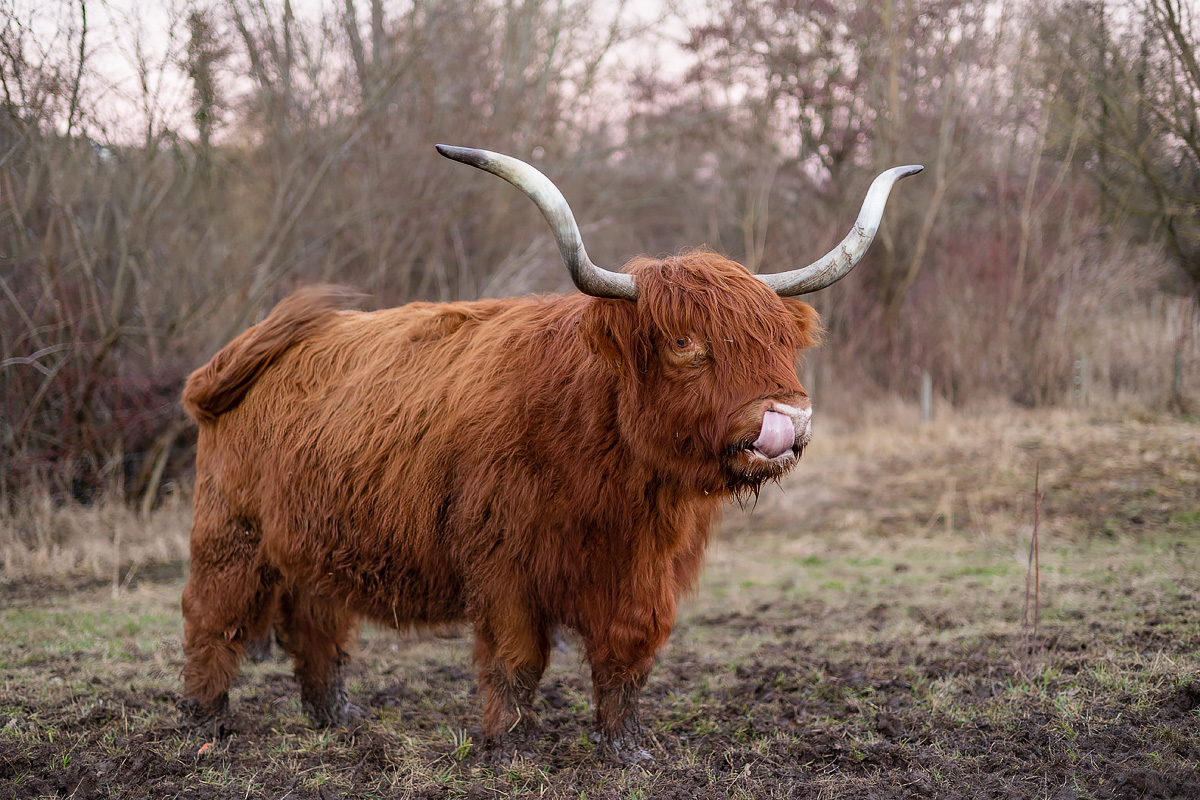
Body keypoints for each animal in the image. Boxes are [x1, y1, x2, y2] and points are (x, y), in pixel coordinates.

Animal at [180, 146, 916, 767]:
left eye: (781, 342)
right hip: (232, 534)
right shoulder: (504, 565)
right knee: (212, 619)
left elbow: (625, 657)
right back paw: (205, 722)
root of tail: (246, 354)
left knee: (317, 629)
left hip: (313, 541)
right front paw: (509, 745)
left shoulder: (647, 574)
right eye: (684, 342)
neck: (617, 481)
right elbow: (516, 659)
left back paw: (340, 718)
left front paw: (627, 749)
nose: (786, 422)